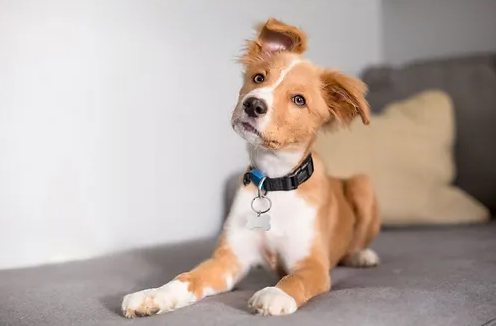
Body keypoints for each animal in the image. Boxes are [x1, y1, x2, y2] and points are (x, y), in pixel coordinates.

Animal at [120, 18, 380, 318]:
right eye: (259, 78)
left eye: (299, 100)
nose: (253, 104)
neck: (274, 182)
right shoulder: (228, 260)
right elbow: (186, 278)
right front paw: (151, 295)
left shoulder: (312, 265)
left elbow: (294, 280)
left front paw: (275, 294)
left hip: (363, 184)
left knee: (356, 241)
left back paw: (362, 255)